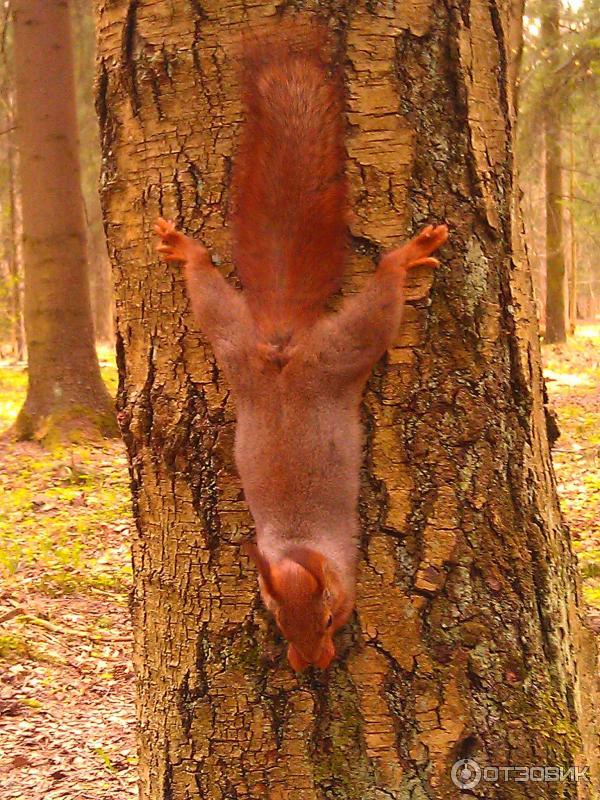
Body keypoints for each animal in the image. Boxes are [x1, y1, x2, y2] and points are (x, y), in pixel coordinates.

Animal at [155, 21, 446, 672]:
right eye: (278, 621)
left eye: (332, 615)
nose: (310, 665)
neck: (295, 545)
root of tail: (282, 345)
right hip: (238, 344)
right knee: (207, 287)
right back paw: (186, 251)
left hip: (330, 347)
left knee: (381, 293)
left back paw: (405, 257)